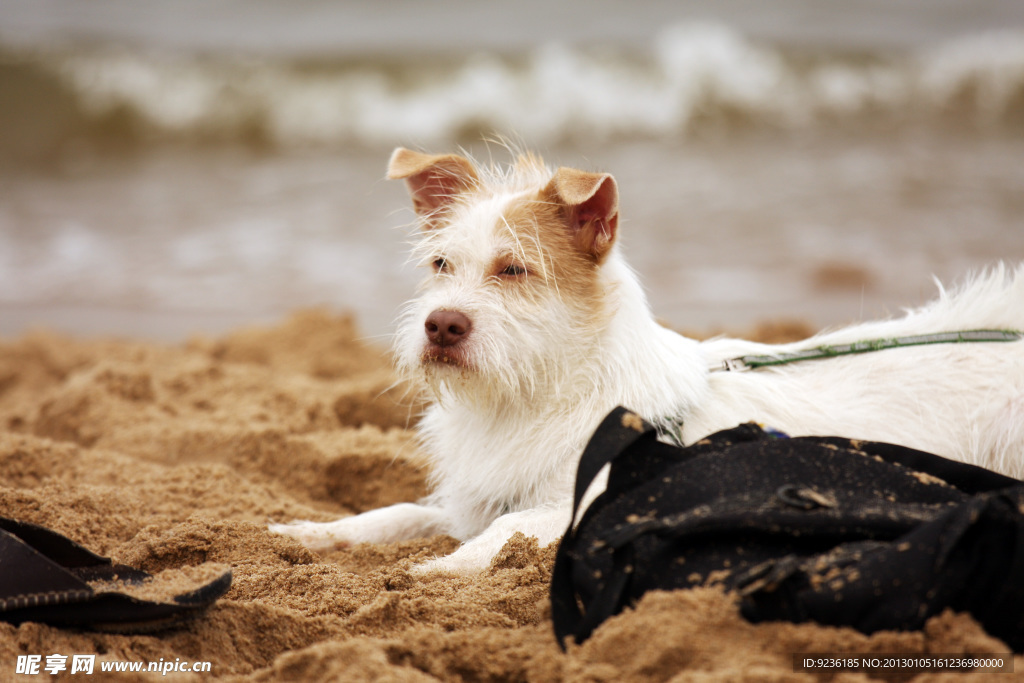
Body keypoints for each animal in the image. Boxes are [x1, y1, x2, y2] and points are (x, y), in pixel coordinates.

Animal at [272, 148, 1024, 573]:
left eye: (514, 269)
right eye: (440, 265)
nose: (442, 325)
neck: (537, 394)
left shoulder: (590, 503)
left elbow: (509, 530)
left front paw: (436, 571)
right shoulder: (473, 499)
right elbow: (397, 513)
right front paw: (313, 533)